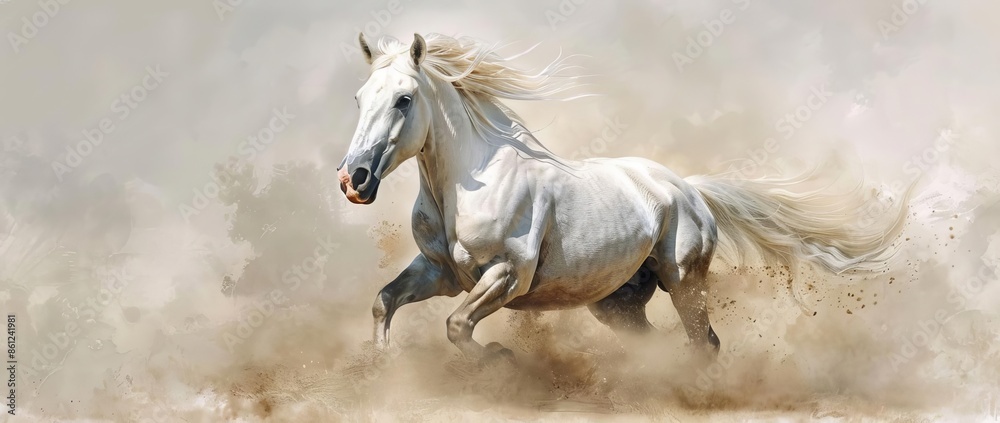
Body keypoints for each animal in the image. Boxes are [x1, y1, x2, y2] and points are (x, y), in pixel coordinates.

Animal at [336, 33, 907, 362]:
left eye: (404, 100)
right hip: (618, 303)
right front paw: (380, 366)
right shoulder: (441, 272)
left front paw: (498, 358)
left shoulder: (506, 274)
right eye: (361, 98)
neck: (466, 185)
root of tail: (689, 190)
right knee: (663, 347)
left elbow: (457, 327)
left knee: (704, 344)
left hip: (685, 281)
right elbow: (383, 302)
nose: (354, 179)